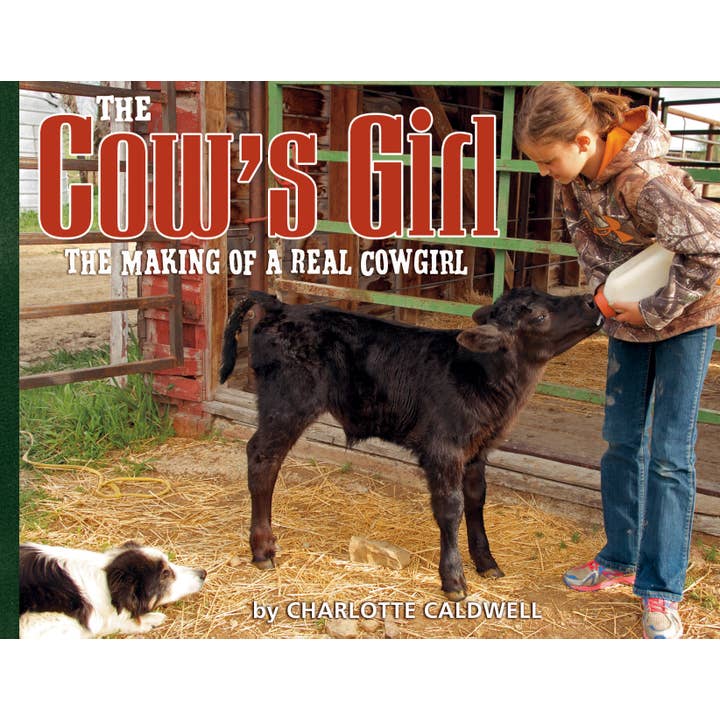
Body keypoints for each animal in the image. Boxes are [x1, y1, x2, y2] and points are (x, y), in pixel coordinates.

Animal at [219, 288, 600, 599]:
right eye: (539, 315)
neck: (481, 373)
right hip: (287, 403)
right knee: (262, 458)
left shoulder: (477, 450)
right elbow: (451, 507)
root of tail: (280, 306)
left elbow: (476, 500)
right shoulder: (443, 449)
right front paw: (454, 579)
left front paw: (486, 562)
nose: (591, 300)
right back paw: (263, 549)